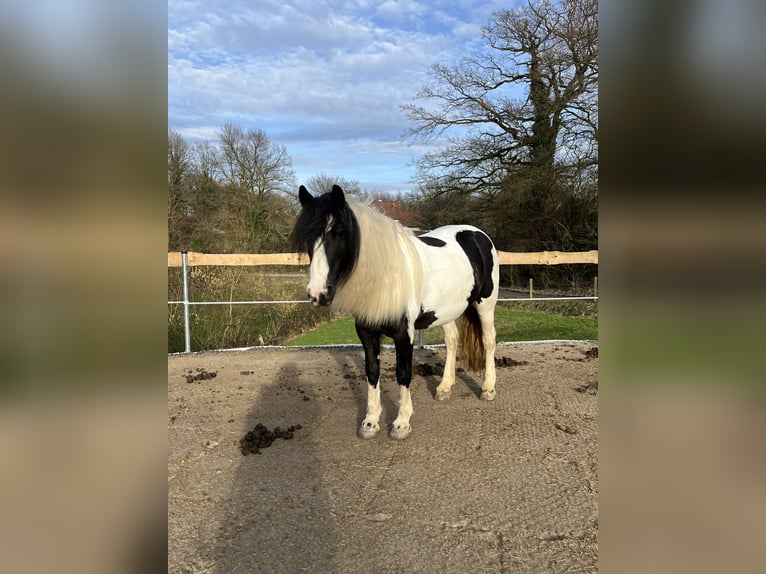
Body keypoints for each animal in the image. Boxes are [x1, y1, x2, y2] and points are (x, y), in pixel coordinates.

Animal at [290, 184, 499, 440]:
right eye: (309, 236)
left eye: (339, 232)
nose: (317, 293)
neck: (387, 275)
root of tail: (477, 234)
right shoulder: (366, 332)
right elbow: (372, 372)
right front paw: (370, 422)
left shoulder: (403, 334)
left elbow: (403, 373)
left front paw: (402, 423)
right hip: (447, 310)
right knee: (452, 341)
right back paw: (444, 388)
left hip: (485, 305)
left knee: (488, 341)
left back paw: (488, 388)